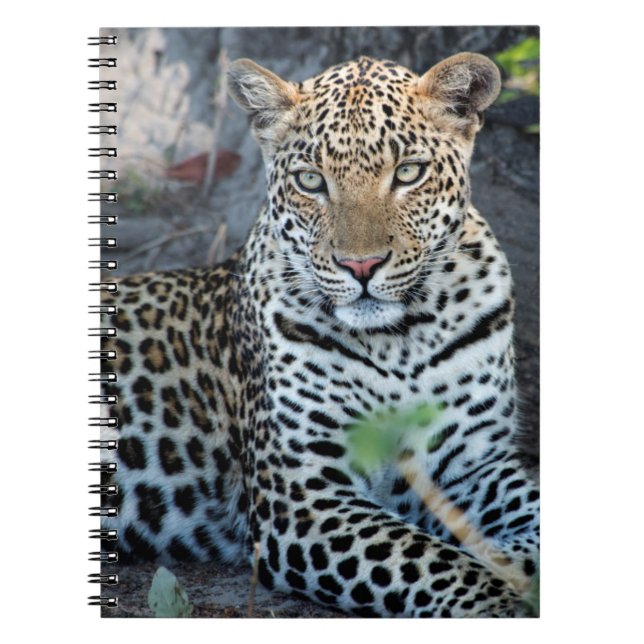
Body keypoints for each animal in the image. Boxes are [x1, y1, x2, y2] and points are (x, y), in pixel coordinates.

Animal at [100, 52, 539, 617]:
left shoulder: (475, 460)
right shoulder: (302, 494)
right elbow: (430, 561)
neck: (402, 339)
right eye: (311, 181)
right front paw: (499, 599)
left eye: (408, 173)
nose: (361, 266)